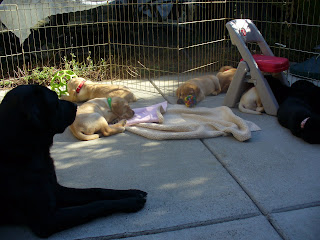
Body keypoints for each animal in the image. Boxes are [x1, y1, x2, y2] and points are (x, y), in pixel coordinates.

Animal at [0, 85, 148, 237]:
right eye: (126, 107)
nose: (133, 113)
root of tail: (75, 128)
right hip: (98, 117)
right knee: (106, 131)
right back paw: (121, 125)